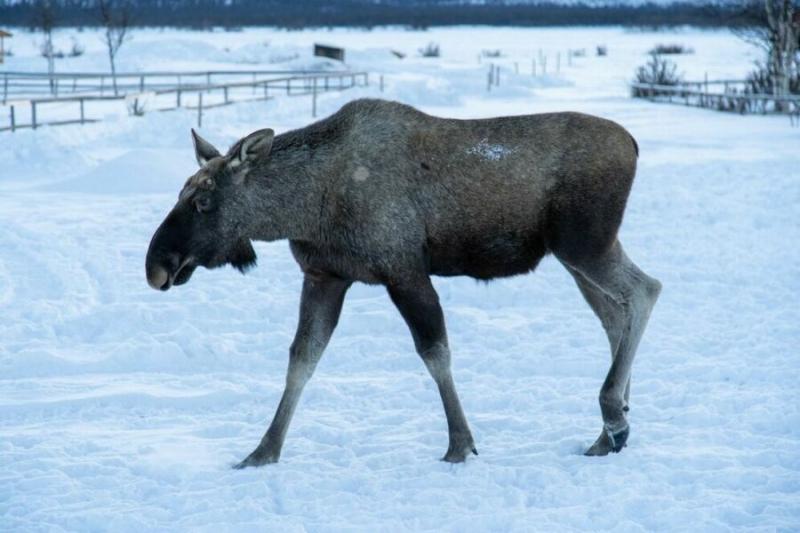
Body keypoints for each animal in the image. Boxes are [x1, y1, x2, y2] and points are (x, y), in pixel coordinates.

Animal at [147, 97, 660, 468]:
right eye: (181, 193)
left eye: (205, 202)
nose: (156, 266)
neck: (305, 206)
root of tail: (635, 143)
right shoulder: (325, 275)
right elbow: (301, 359)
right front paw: (262, 451)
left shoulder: (404, 269)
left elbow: (435, 353)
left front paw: (460, 444)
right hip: (575, 255)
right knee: (614, 313)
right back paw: (611, 429)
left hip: (583, 243)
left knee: (644, 290)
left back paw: (612, 414)